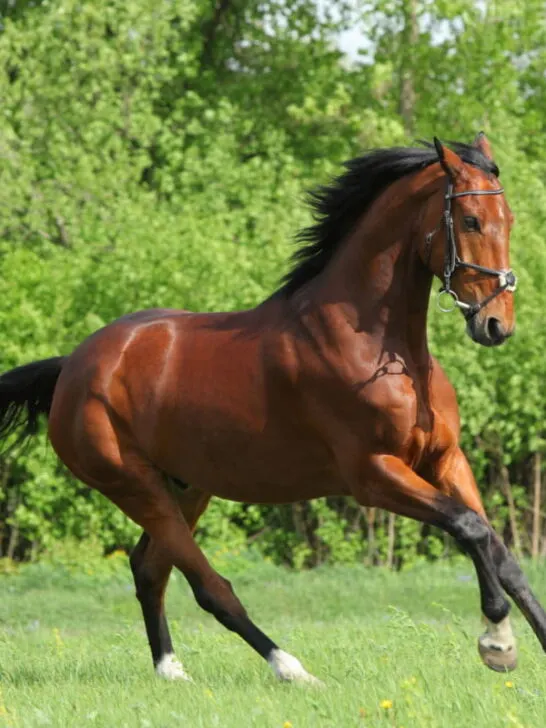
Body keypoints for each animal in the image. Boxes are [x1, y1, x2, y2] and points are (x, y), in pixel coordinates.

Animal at [0, 133, 543, 685]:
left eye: (510, 219)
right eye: (471, 220)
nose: (496, 324)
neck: (381, 348)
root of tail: (73, 367)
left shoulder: (445, 459)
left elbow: (502, 553)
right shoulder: (373, 475)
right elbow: (469, 528)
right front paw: (497, 642)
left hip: (188, 487)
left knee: (150, 569)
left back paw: (171, 671)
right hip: (133, 485)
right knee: (210, 588)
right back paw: (292, 670)